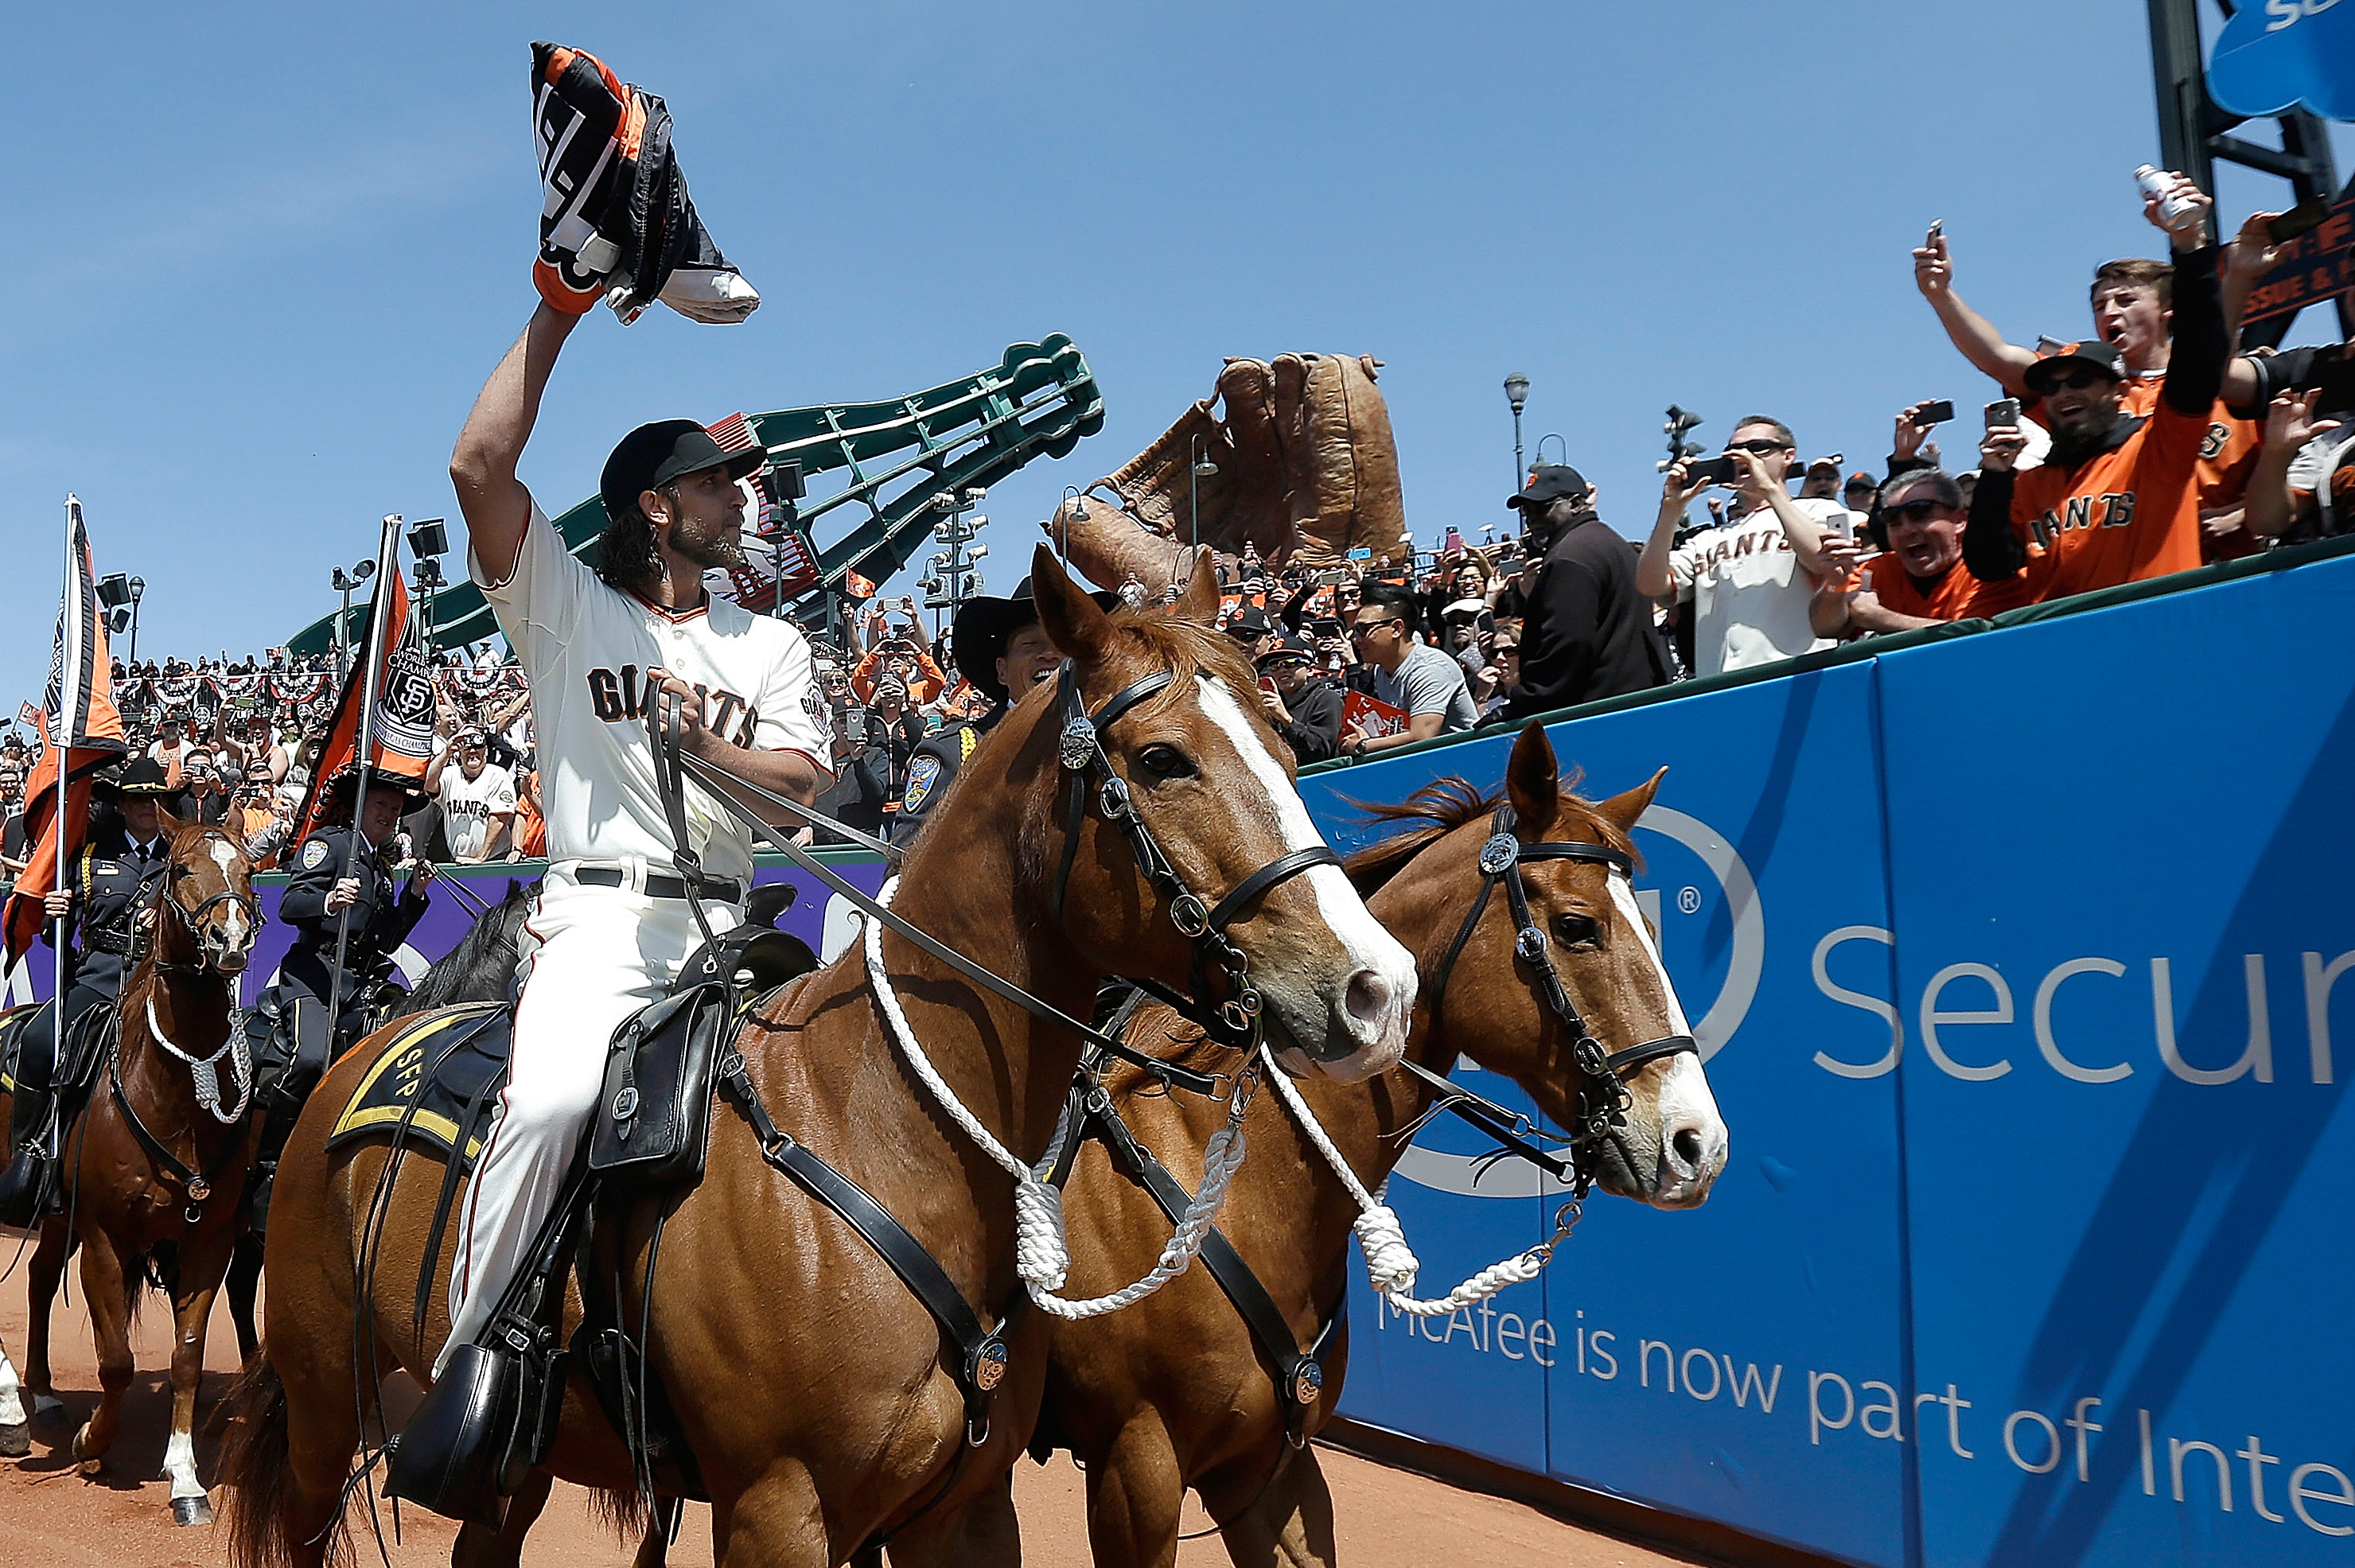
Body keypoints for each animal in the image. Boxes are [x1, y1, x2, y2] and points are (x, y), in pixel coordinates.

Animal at [2, 810, 261, 1515]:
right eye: (181, 867)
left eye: (251, 866)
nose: (230, 935)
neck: (172, 1091)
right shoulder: (104, 1236)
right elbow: (116, 1358)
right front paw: (94, 1444)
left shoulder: (208, 1239)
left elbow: (187, 1356)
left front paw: (186, 1476)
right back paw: (12, 1409)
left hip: (56, 1220)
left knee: (38, 1277)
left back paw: (43, 1395)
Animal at [918, 720, 1733, 1563]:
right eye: (1578, 927)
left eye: (1648, 925)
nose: (1696, 1142)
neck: (1227, 1177)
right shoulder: (1133, 1465)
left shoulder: (1271, 1467)